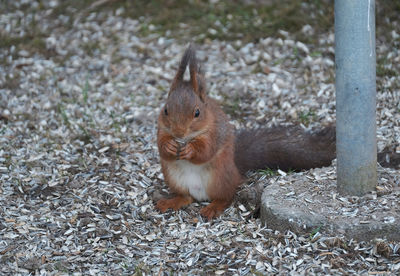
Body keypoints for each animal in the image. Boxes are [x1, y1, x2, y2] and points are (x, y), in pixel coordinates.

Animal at [155, 45, 336, 219]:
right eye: (165, 110)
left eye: (197, 113)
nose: (178, 133)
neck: (189, 137)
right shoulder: (161, 130)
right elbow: (161, 146)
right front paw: (169, 146)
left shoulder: (215, 133)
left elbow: (206, 150)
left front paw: (190, 150)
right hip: (174, 178)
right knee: (186, 197)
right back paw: (171, 202)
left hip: (220, 177)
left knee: (226, 197)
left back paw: (213, 208)